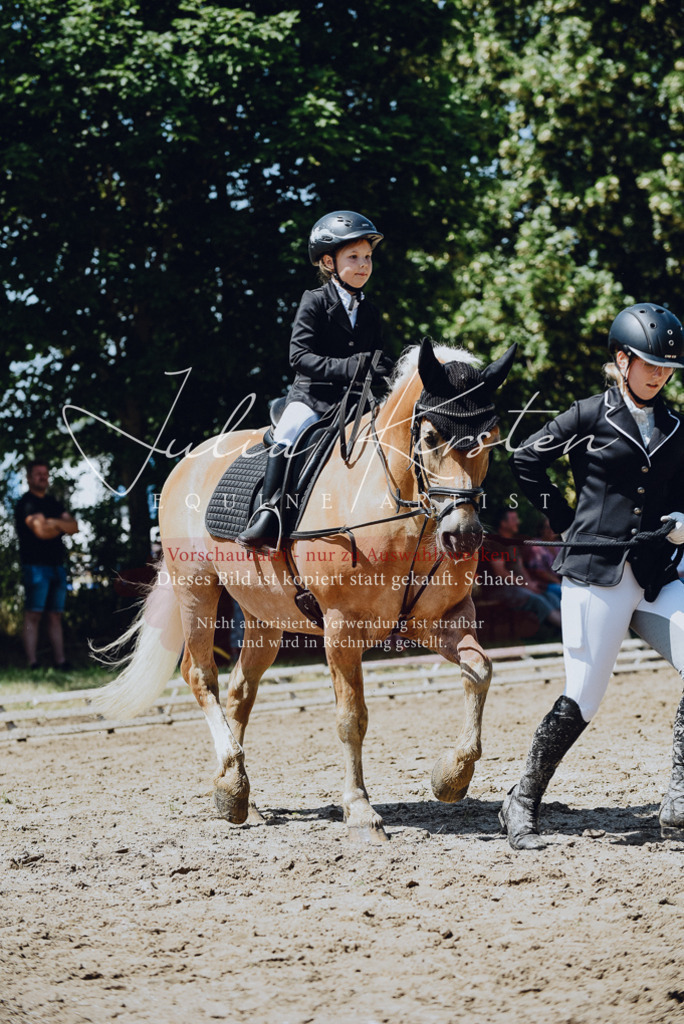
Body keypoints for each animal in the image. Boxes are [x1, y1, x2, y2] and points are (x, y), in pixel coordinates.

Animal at [95, 338, 516, 842]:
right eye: (431, 437)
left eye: (492, 438)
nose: (462, 538)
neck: (399, 509)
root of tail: (188, 462)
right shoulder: (342, 629)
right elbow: (352, 717)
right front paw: (360, 810)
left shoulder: (441, 620)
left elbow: (480, 670)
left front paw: (451, 776)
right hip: (197, 590)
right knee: (201, 678)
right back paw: (232, 778)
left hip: (263, 615)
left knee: (239, 690)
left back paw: (237, 796)